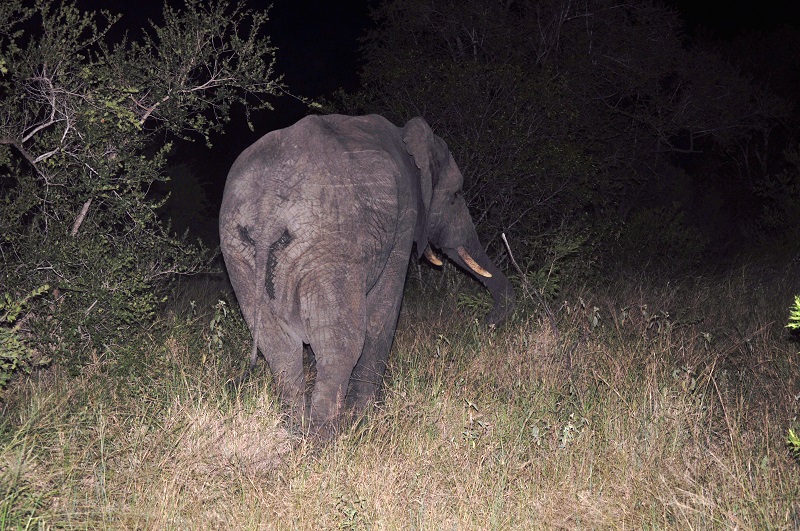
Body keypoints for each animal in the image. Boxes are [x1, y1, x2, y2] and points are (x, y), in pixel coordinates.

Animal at [219, 114, 516, 438]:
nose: (487, 321)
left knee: (279, 347)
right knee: (340, 344)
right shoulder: (405, 215)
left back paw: (295, 431)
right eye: (456, 195)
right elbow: (382, 310)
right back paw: (325, 439)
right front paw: (365, 416)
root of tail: (267, 210)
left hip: (239, 253)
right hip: (329, 246)